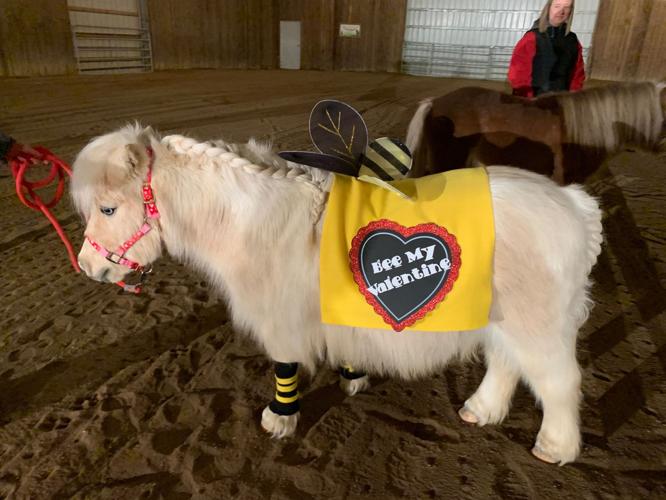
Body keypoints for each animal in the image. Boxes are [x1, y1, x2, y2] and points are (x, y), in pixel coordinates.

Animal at [72, 124, 603, 465]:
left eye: (108, 207)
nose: (89, 268)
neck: (253, 217)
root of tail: (574, 205)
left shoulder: (281, 317)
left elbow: (285, 367)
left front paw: (279, 421)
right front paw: (354, 380)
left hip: (538, 325)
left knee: (560, 382)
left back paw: (555, 449)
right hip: (501, 320)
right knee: (505, 365)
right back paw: (480, 411)